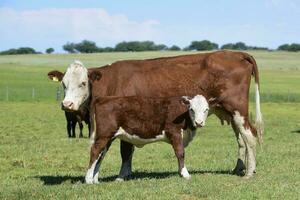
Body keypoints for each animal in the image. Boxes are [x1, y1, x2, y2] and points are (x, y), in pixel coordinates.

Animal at [48, 50, 264, 180]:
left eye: (83, 83)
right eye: (63, 84)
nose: (67, 104)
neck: (112, 81)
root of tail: (235, 52)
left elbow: (125, 151)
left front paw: (122, 175)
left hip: (238, 109)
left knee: (249, 136)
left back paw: (249, 172)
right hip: (231, 113)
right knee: (241, 140)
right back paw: (239, 169)